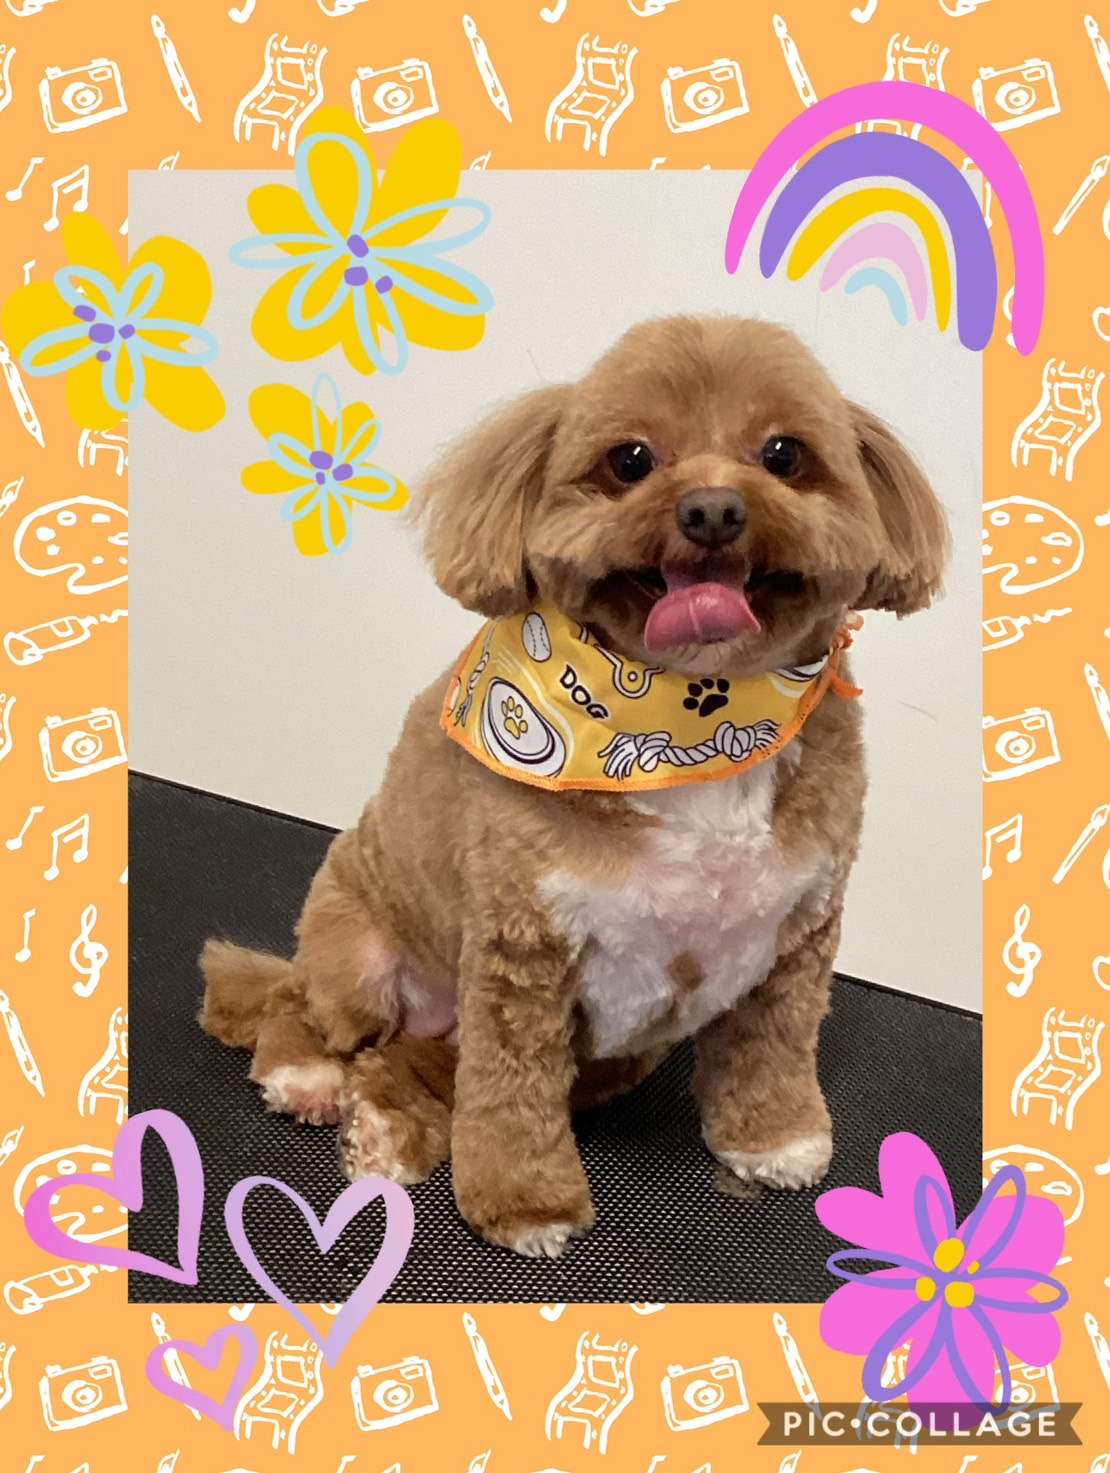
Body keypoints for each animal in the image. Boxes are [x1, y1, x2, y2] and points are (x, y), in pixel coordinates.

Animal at [200, 313, 949, 1258]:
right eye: (631, 459)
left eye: (784, 453)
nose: (713, 509)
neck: (689, 722)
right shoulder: (523, 949)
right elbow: (512, 1093)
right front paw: (526, 1200)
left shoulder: (796, 934)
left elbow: (772, 1045)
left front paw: (774, 1136)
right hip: (356, 953)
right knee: (306, 1008)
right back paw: (308, 1075)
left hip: (604, 1055)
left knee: (417, 1068)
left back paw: (389, 1130)